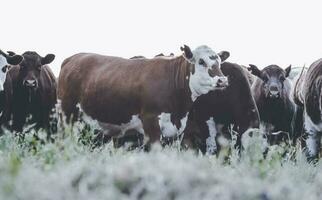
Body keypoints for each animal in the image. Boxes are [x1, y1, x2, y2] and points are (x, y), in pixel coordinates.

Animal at [57, 45, 229, 148]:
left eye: (219, 62)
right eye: (201, 61)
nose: (223, 80)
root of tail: (72, 59)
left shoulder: (174, 131)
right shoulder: (151, 122)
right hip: (67, 117)